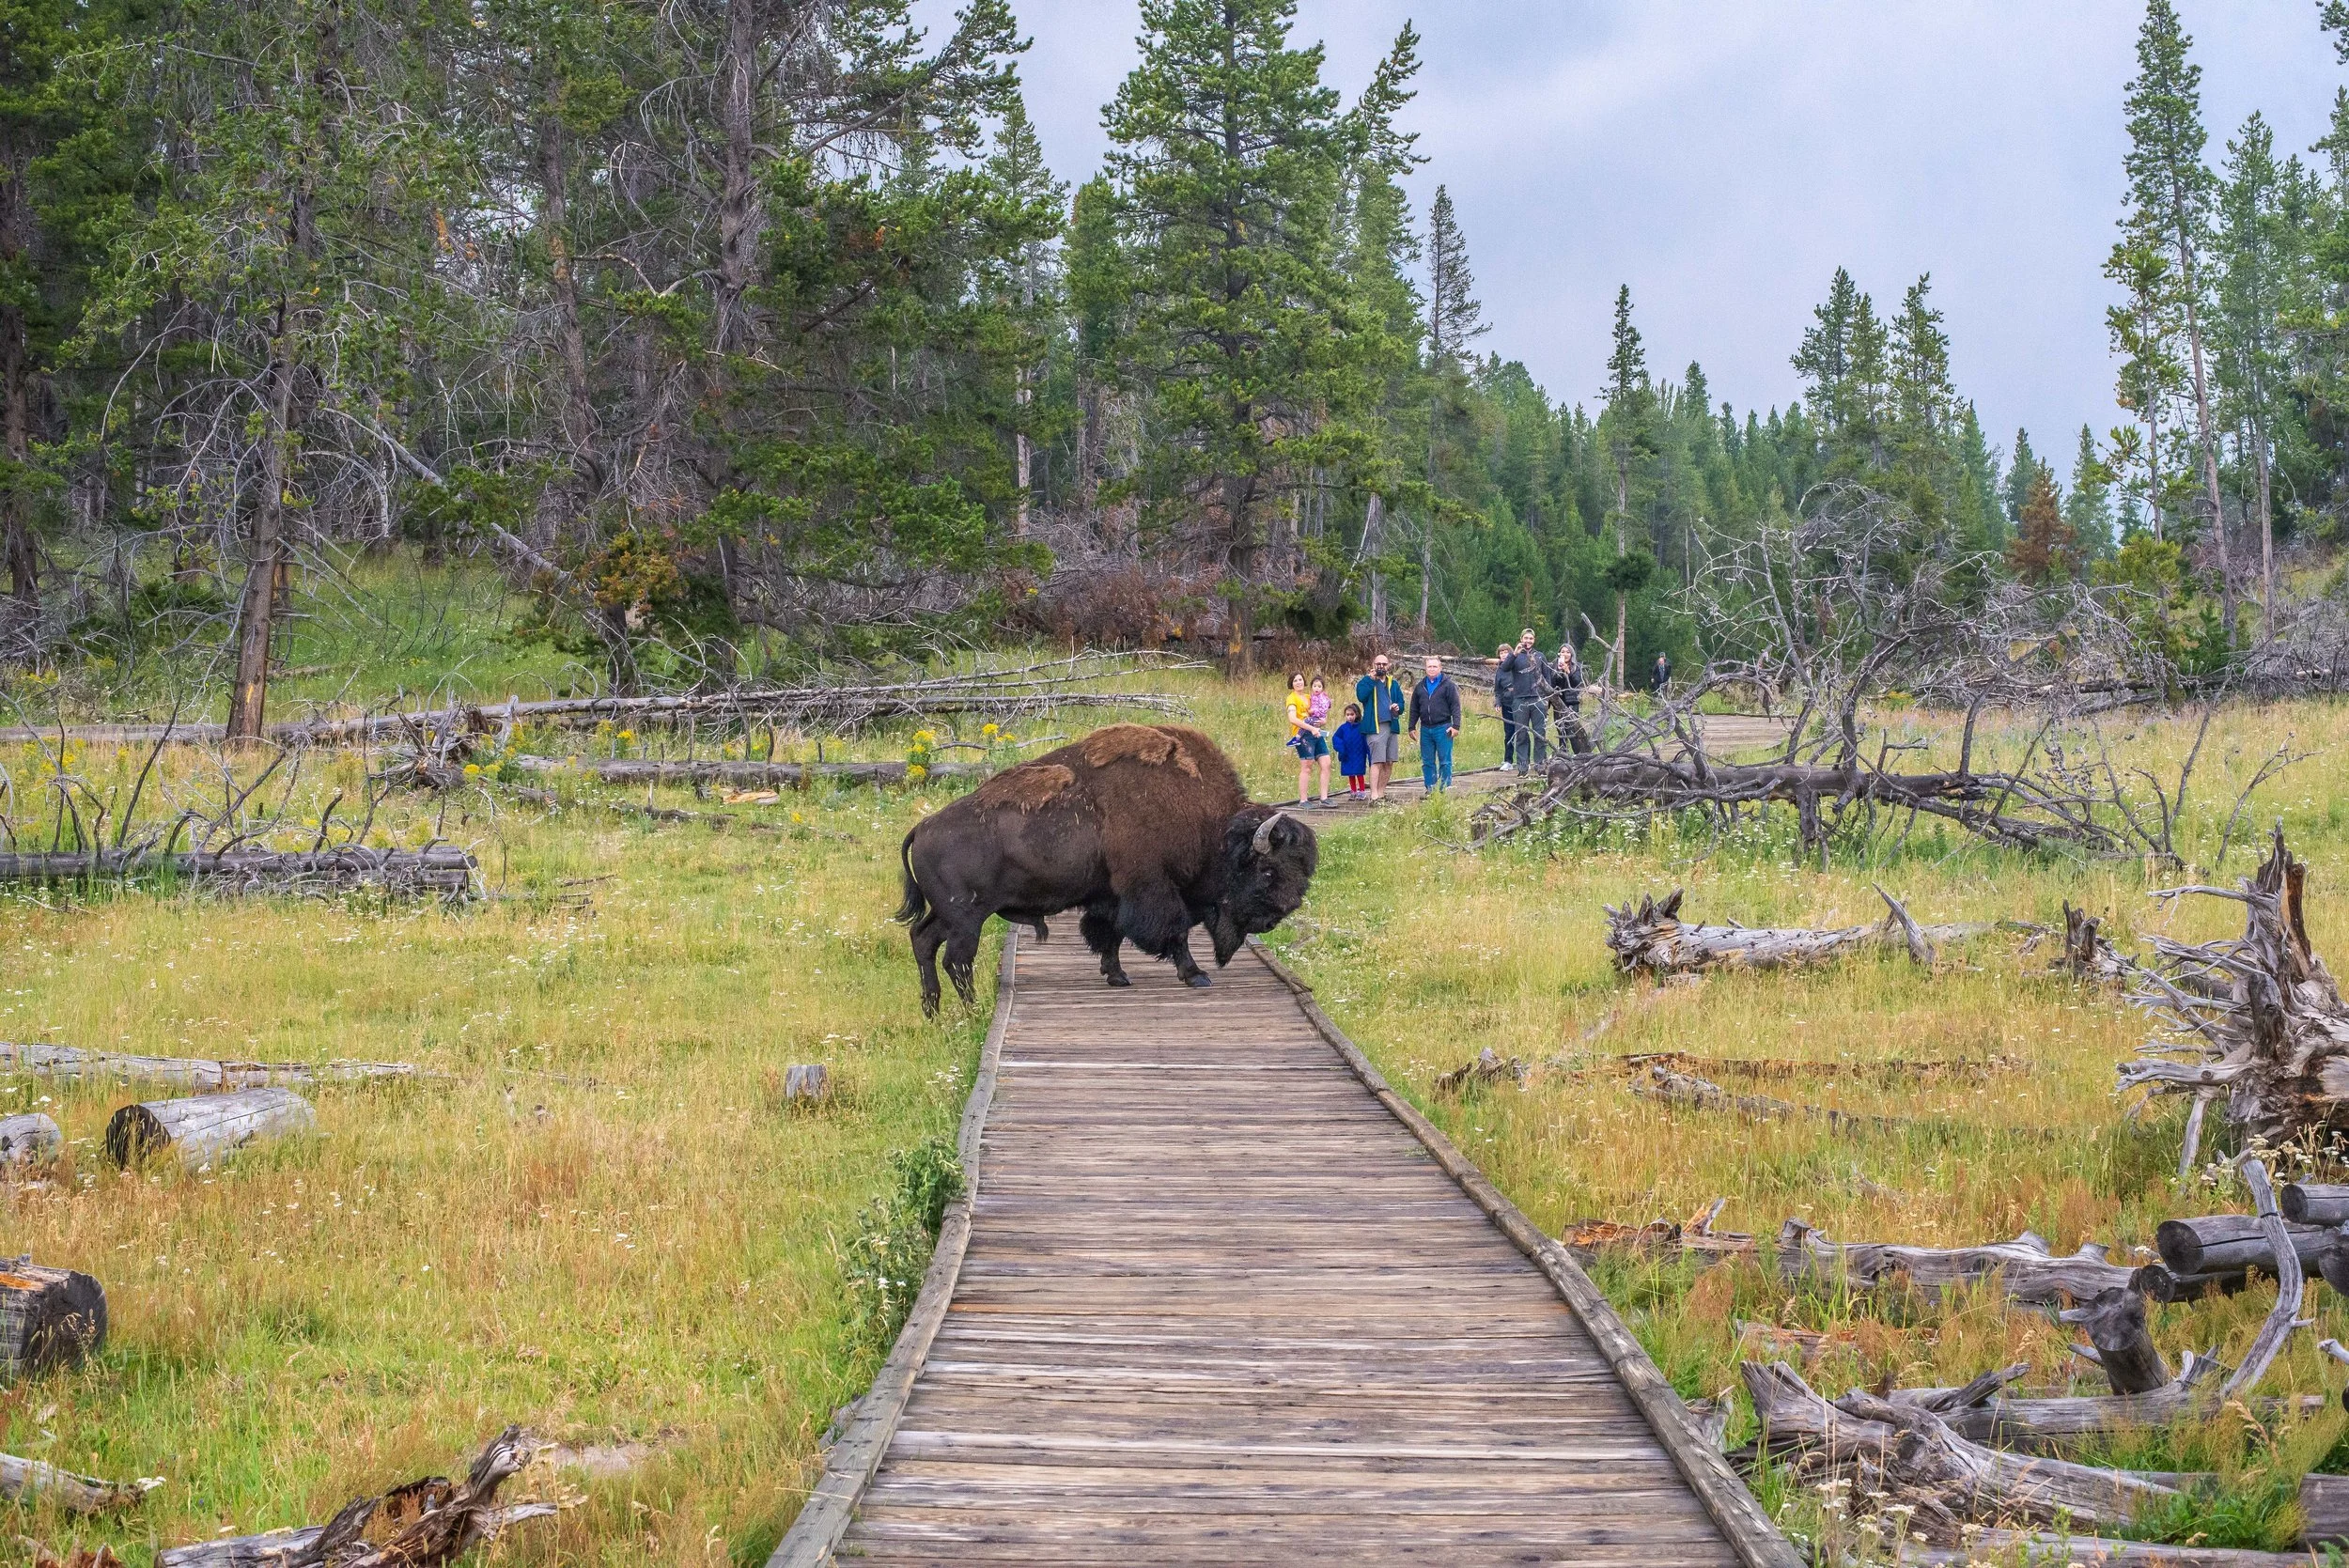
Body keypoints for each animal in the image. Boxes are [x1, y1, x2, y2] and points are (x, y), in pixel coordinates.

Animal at [895, 723, 1318, 1014]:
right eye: (1267, 871)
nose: (1280, 914)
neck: (1212, 827)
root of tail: (923, 827)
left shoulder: (1111, 896)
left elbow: (1110, 935)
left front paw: (1117, 977)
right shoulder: (1153, 888)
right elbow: (1175, 931)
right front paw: (1196, 975)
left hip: (946, 915)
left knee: (923, 941)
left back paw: (932, 1009)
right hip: (967, 917)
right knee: (956, 958)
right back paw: (971, 1010)